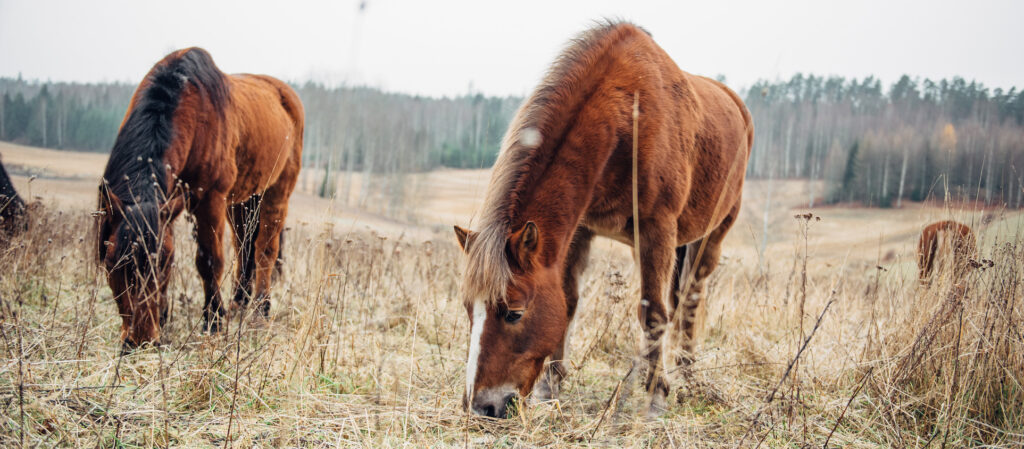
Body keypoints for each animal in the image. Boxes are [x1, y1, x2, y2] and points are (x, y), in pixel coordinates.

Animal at [95, 48, 303, 346]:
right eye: (114, 263)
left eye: (162, 266)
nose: (140, 341)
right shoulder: (169, 204)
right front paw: (165, 317)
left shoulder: (209, 201)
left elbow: (209, 261)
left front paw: (212, 321)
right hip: (242, 201)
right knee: (244, 246)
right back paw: (239, 303)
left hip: (277, 192)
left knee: (265, 249)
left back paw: (260, 310)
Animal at [454, 21, 753, 418]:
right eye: (469, 309)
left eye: (514, 313)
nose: (482, 406)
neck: (627, 114)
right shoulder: (579, 231)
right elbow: (569, 302)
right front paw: (550, 387)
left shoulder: (656, 229)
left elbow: (654, 313)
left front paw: (656, 397)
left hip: (712, 236)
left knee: (689, 301)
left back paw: (688, 376)